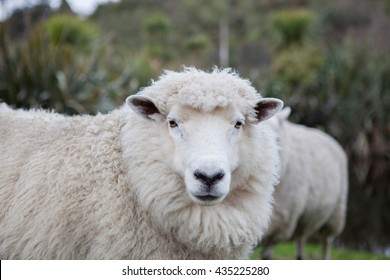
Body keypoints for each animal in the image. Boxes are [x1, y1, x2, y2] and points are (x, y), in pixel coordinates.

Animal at [260, 107, 348, 260]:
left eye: (278, 139)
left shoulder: (283, 220)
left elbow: (267, 252)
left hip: (335, 213)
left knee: (326, 240)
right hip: (305, 216)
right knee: (301, 236)